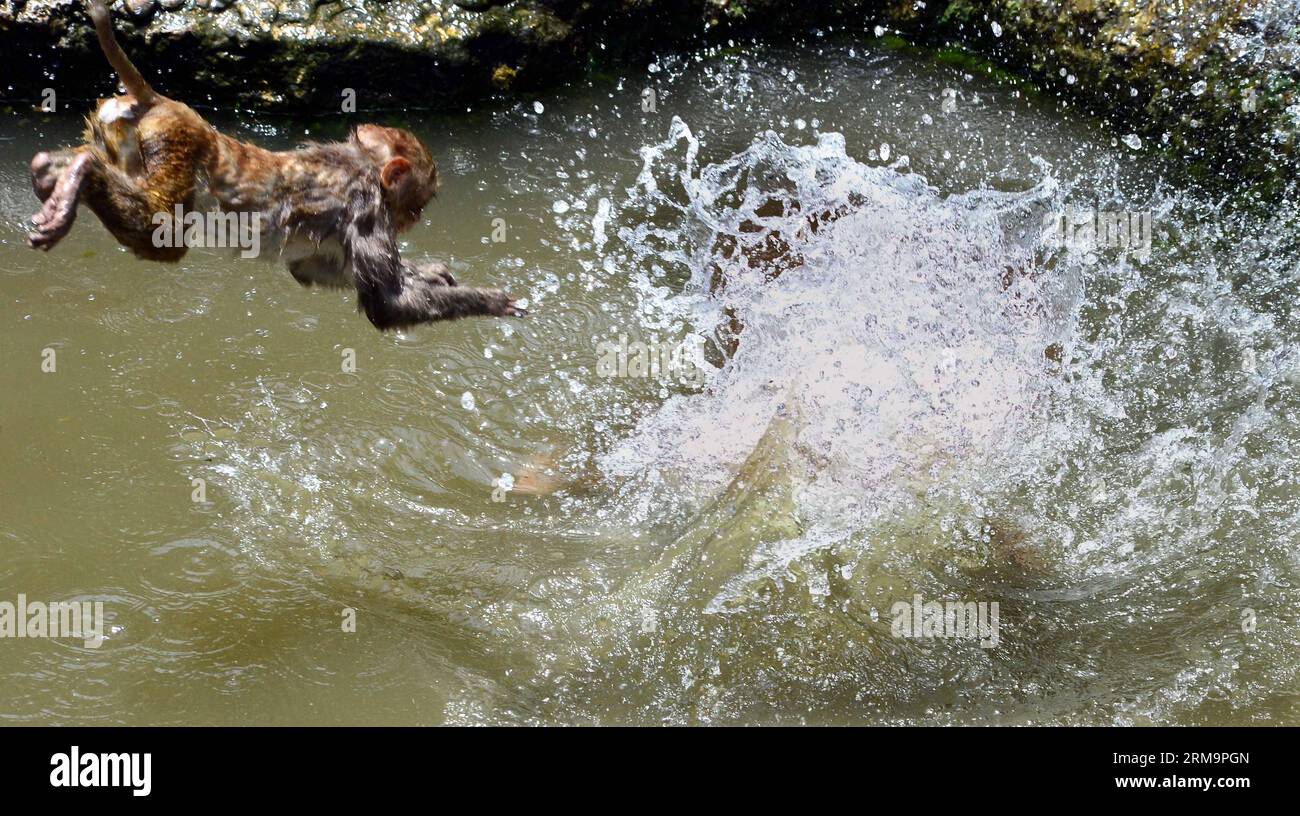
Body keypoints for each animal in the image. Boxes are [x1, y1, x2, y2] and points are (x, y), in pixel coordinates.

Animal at [29, 0, 522, 331]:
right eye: (416, 206)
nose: (413, 221)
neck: (360, 162)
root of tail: (158, 102)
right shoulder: (367, 204)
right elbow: (386, 305)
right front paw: (490, 300)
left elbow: (313, 269)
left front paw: (431, 273)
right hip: (177, 148)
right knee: (159, 234)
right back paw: (80, 173)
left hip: (118, 132)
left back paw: (50, 170)